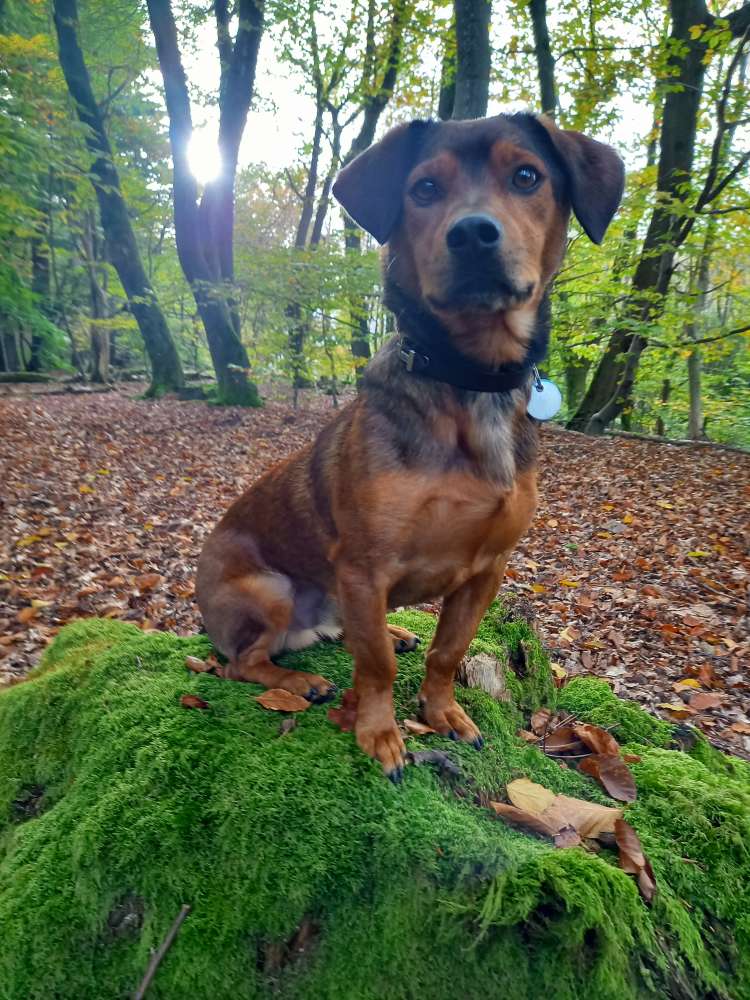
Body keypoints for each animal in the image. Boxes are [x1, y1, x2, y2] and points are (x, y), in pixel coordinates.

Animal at [197, 111, 624, 780]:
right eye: (423, 188)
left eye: (527, 176)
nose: (472, 233)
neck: (468, 381)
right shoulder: (364, 567)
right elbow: (376, 665)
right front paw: (379, 733)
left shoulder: (487, 571)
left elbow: (448, 651)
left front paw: (441, 712)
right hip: (270, 590)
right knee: (243, 662)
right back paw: (296, 680)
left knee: (342, 632)